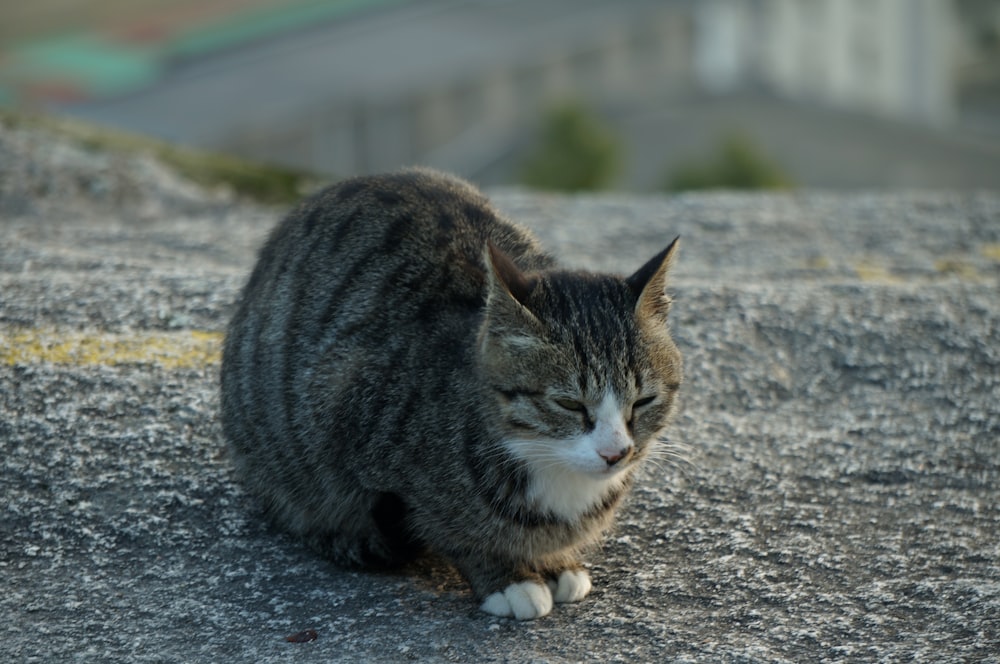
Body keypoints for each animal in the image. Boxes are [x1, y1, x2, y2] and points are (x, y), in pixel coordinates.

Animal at [220, 169, 684, 620]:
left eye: (643, 401)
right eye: (569, 403)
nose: (615, 453)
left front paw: (555, 561)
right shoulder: (348, 409)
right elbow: (448, 529)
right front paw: (507, 576)